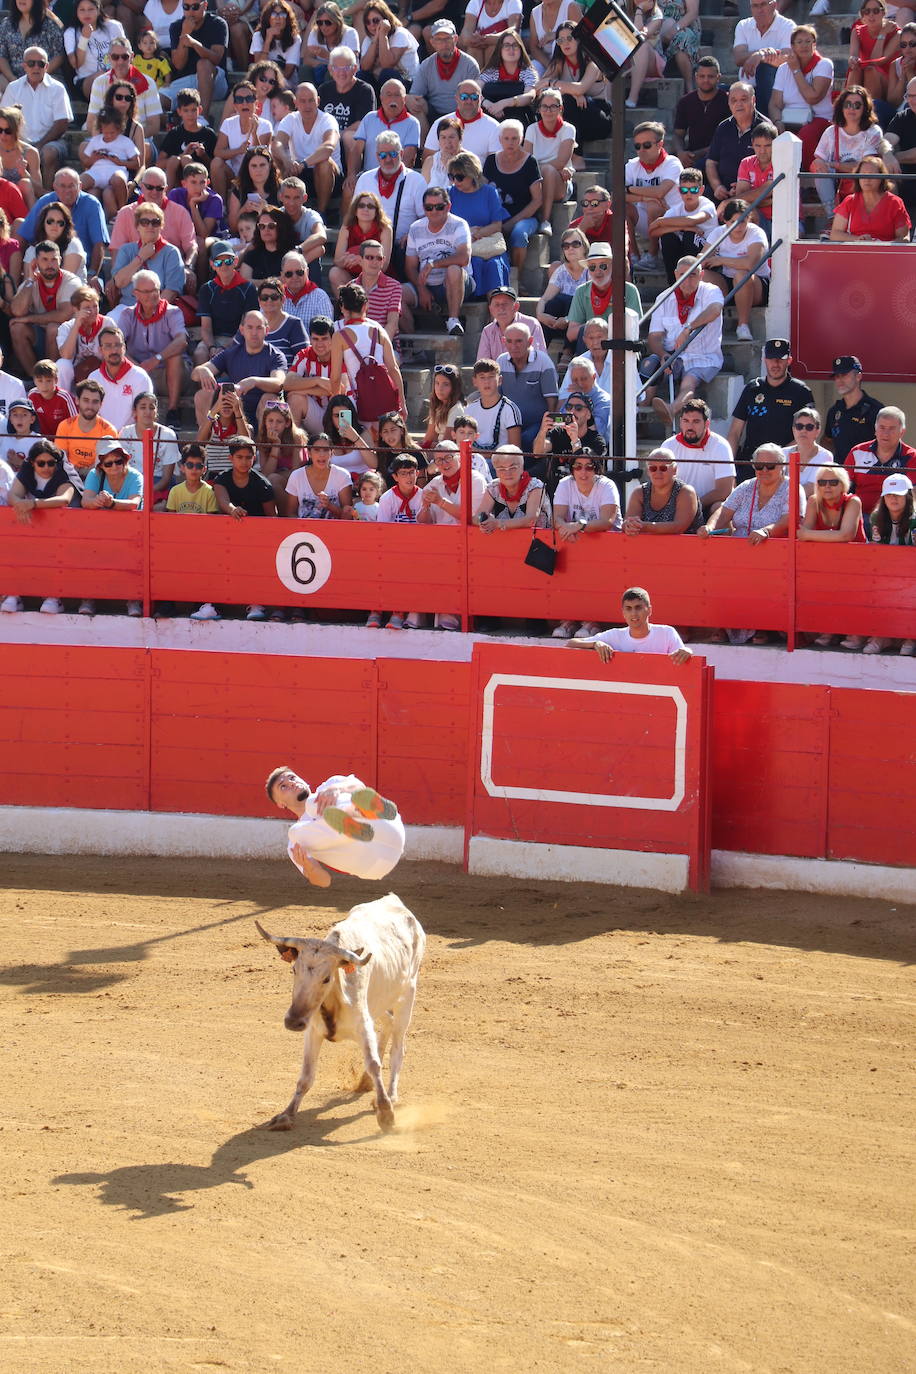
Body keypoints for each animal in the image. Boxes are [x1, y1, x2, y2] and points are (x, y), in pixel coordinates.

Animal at [256, 895, 428, 1132]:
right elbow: (306, 1076)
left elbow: (374, 1063)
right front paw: (286, 1115)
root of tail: (394, 899)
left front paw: (386, 1113)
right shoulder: (313, 1030)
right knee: (388, 1023)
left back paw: (391, 1096)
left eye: (326, 978)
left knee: (398, 1047)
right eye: (294, 970)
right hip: (379, 1003)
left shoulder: (363, 1024)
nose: (292, 1022)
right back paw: (365, 1082)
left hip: (407, 995)